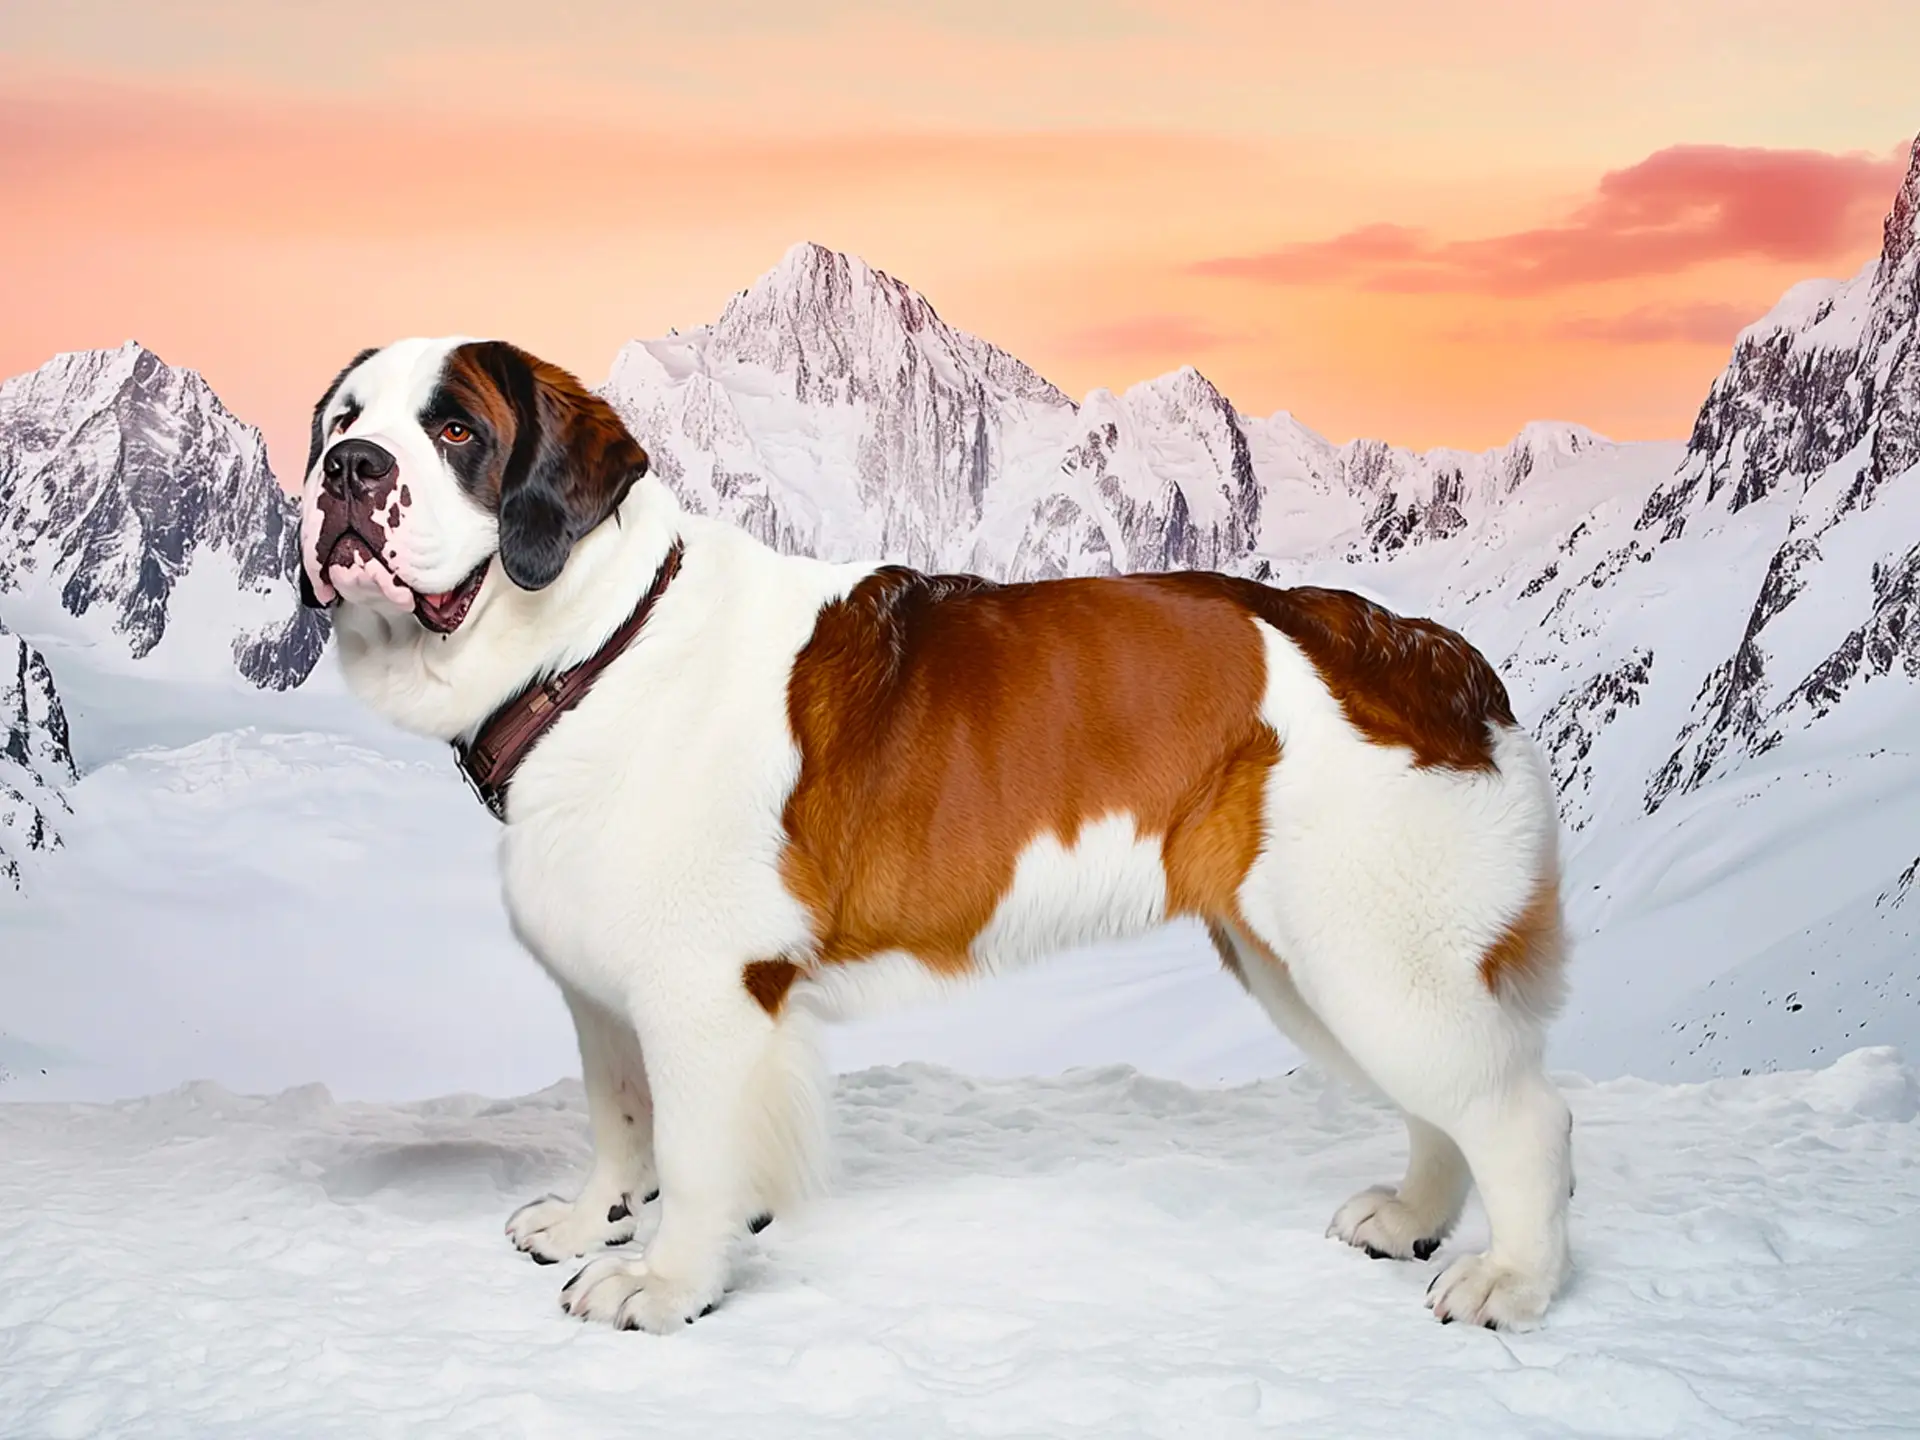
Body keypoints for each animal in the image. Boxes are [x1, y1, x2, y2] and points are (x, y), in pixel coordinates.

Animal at [299, 337, 1574, 1344]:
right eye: (342, 422)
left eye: (456, 428)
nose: (349, 472)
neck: (595, 645)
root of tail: (1431, 651)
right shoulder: (605, 992)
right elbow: (620, 1121)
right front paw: (591, 1220)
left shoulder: (705, 995)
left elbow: (698, 1154)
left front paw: (665, 1284)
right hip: (1306, 964)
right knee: (1444, 1102)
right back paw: (1413, 1219)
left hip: (1369, 956)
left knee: (1519, 1112)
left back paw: (1513, 1279)